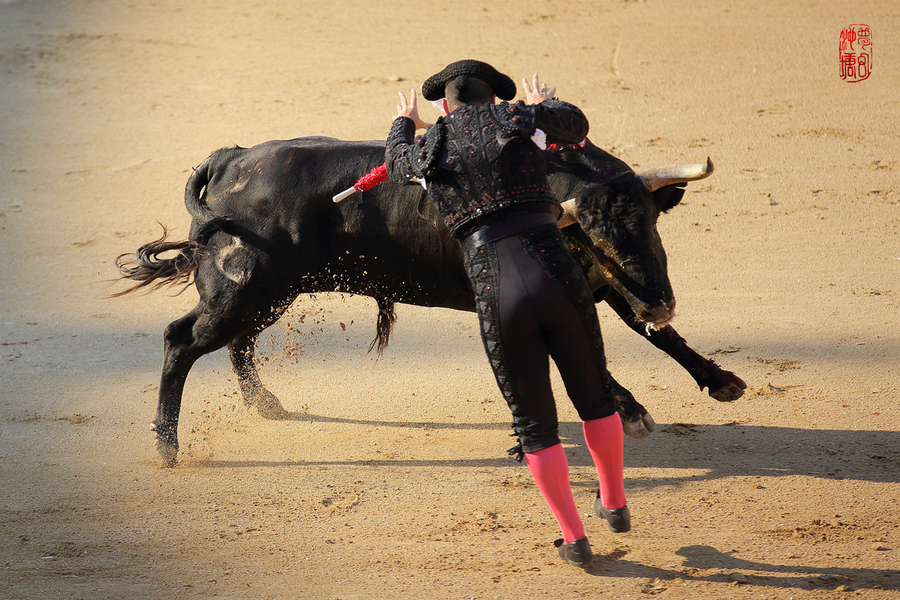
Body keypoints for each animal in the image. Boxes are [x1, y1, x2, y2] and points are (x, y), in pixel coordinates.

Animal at [114, 135, 744, 464]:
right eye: (589, 236)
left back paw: (265, 403)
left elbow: (657, 338)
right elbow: (585, 349)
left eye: (649, 224)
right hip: (244, 290)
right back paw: (168, 447)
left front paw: (719, 380)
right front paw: (633, 412)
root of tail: (231, 158)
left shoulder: (607, 286)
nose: (658, 301)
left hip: (265, 294)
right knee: (183, 341)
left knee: (237, 342)